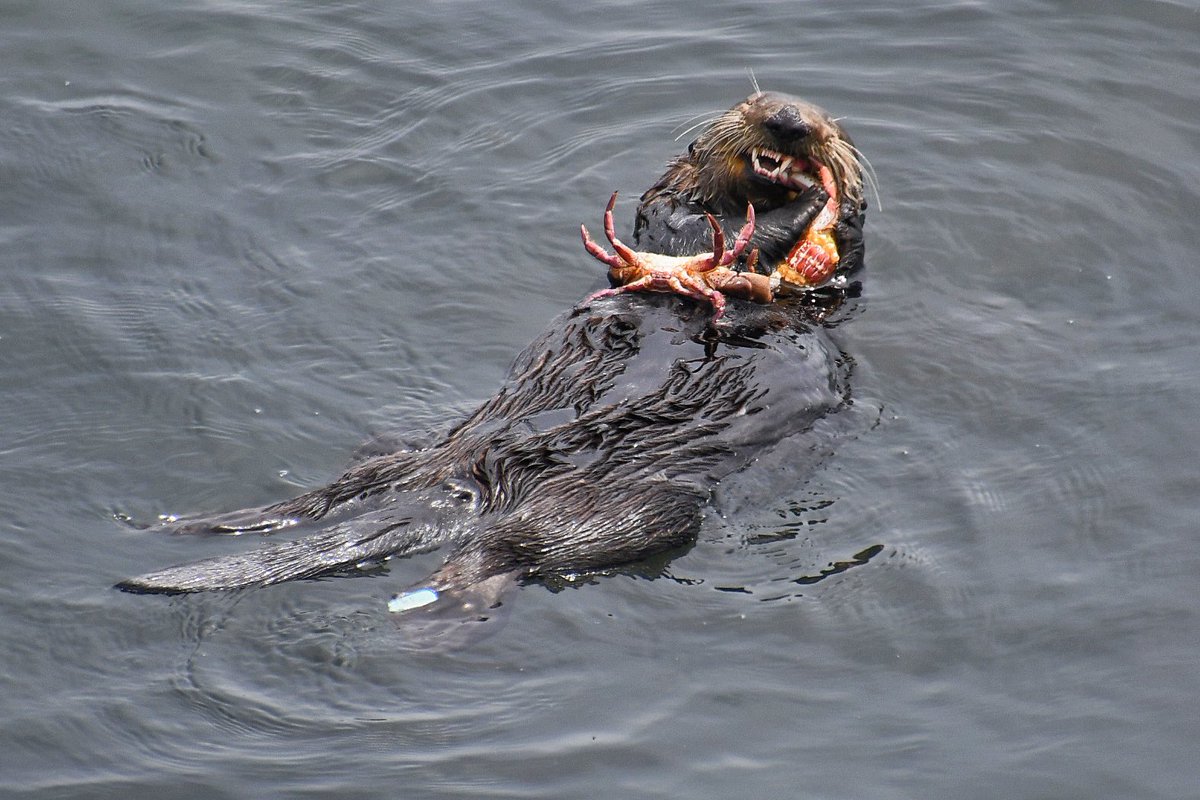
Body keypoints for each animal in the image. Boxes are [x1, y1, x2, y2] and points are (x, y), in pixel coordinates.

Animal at [117, 91, 868, 617]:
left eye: (831, 122)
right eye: (752, 103)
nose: (789, 120)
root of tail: (469, 478)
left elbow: (832, 259)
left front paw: (812, 204)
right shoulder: (666, 213)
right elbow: (675, 227)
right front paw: (798, 201)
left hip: (627, 508)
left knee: (504, 545)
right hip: (471, 468)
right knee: (361, 502)